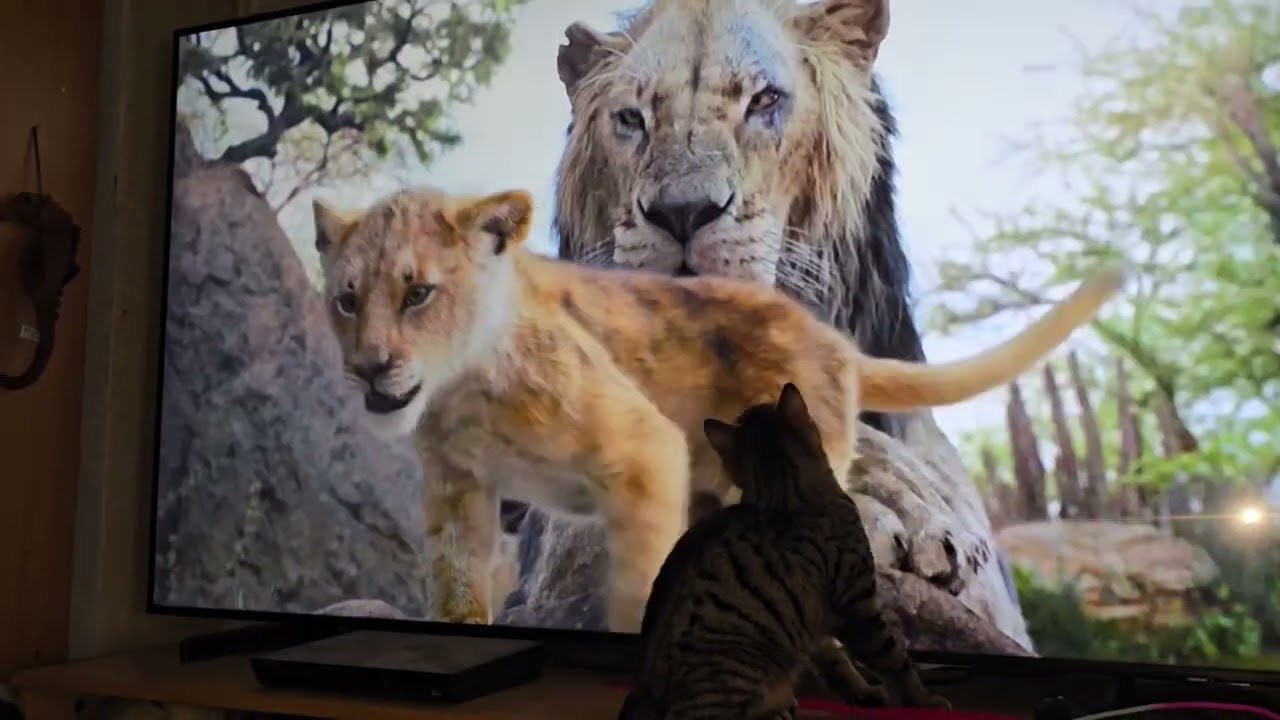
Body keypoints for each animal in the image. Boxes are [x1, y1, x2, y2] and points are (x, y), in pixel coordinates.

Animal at [311, 184, 1121, 633]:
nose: (370, 367)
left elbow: (635, 580)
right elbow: (457, 589)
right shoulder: (460, 495)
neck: (462, 392)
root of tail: (830, 338)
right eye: (346, 300)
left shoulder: (643, 447)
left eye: (419, 294)